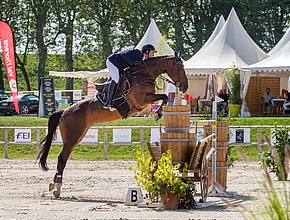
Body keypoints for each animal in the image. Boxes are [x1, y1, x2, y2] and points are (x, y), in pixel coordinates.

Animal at [36, 52, 188, 198]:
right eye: (180, 68)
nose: (185, 87)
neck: (144, 75)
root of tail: (64, 111)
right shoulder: (142, 99)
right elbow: (164, 96)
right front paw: (157, 114)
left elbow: (163, 98)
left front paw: (157, 113)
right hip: (72, 137)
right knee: (62, 158)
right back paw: (57, 188)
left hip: (79, 136)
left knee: (63, 158)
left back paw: (52, 185)